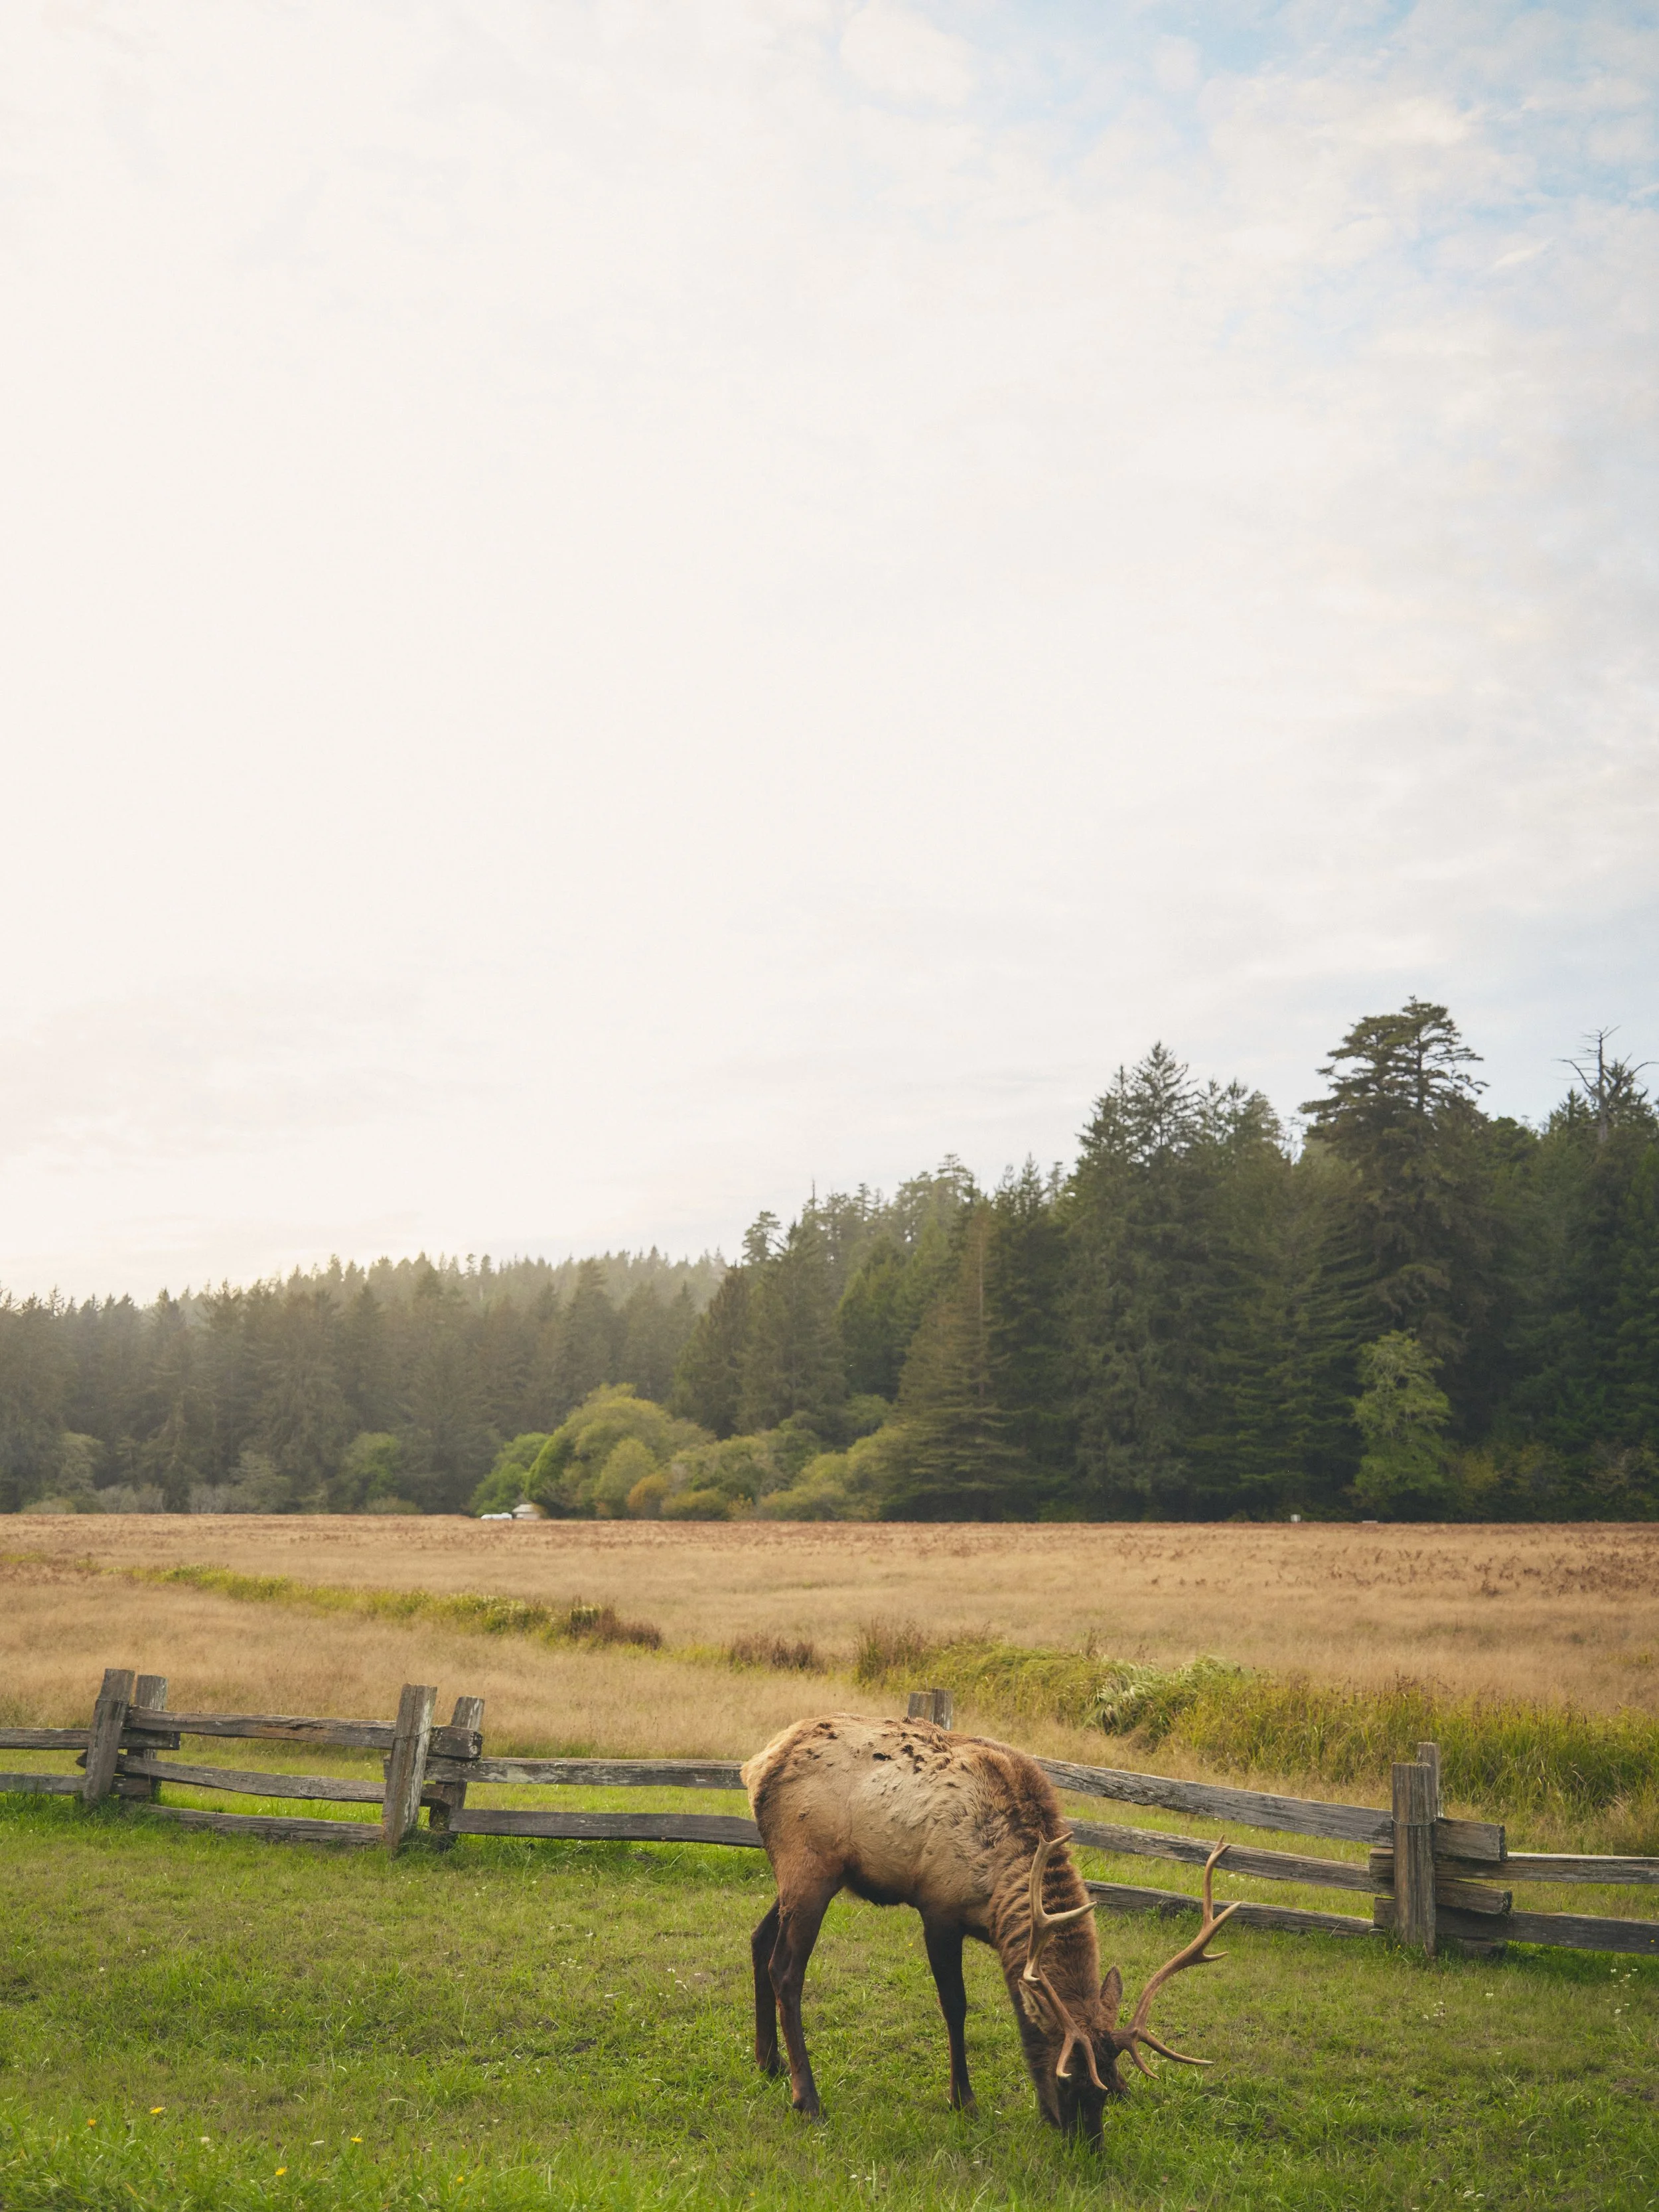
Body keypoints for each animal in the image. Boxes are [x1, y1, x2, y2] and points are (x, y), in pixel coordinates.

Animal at [741, 1712, 1237, 2144]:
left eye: (1111, 2085)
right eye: (1068, 2077)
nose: (1089, 2145)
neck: (998, 1897)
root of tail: (756, 1765)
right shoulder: (938, 1911)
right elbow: (956, 2006)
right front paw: (964, 2100)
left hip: (804, 1877)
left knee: (758, 1938)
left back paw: (768, 2060)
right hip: (810, 1867)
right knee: (785, 1970)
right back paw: (807, 2098)